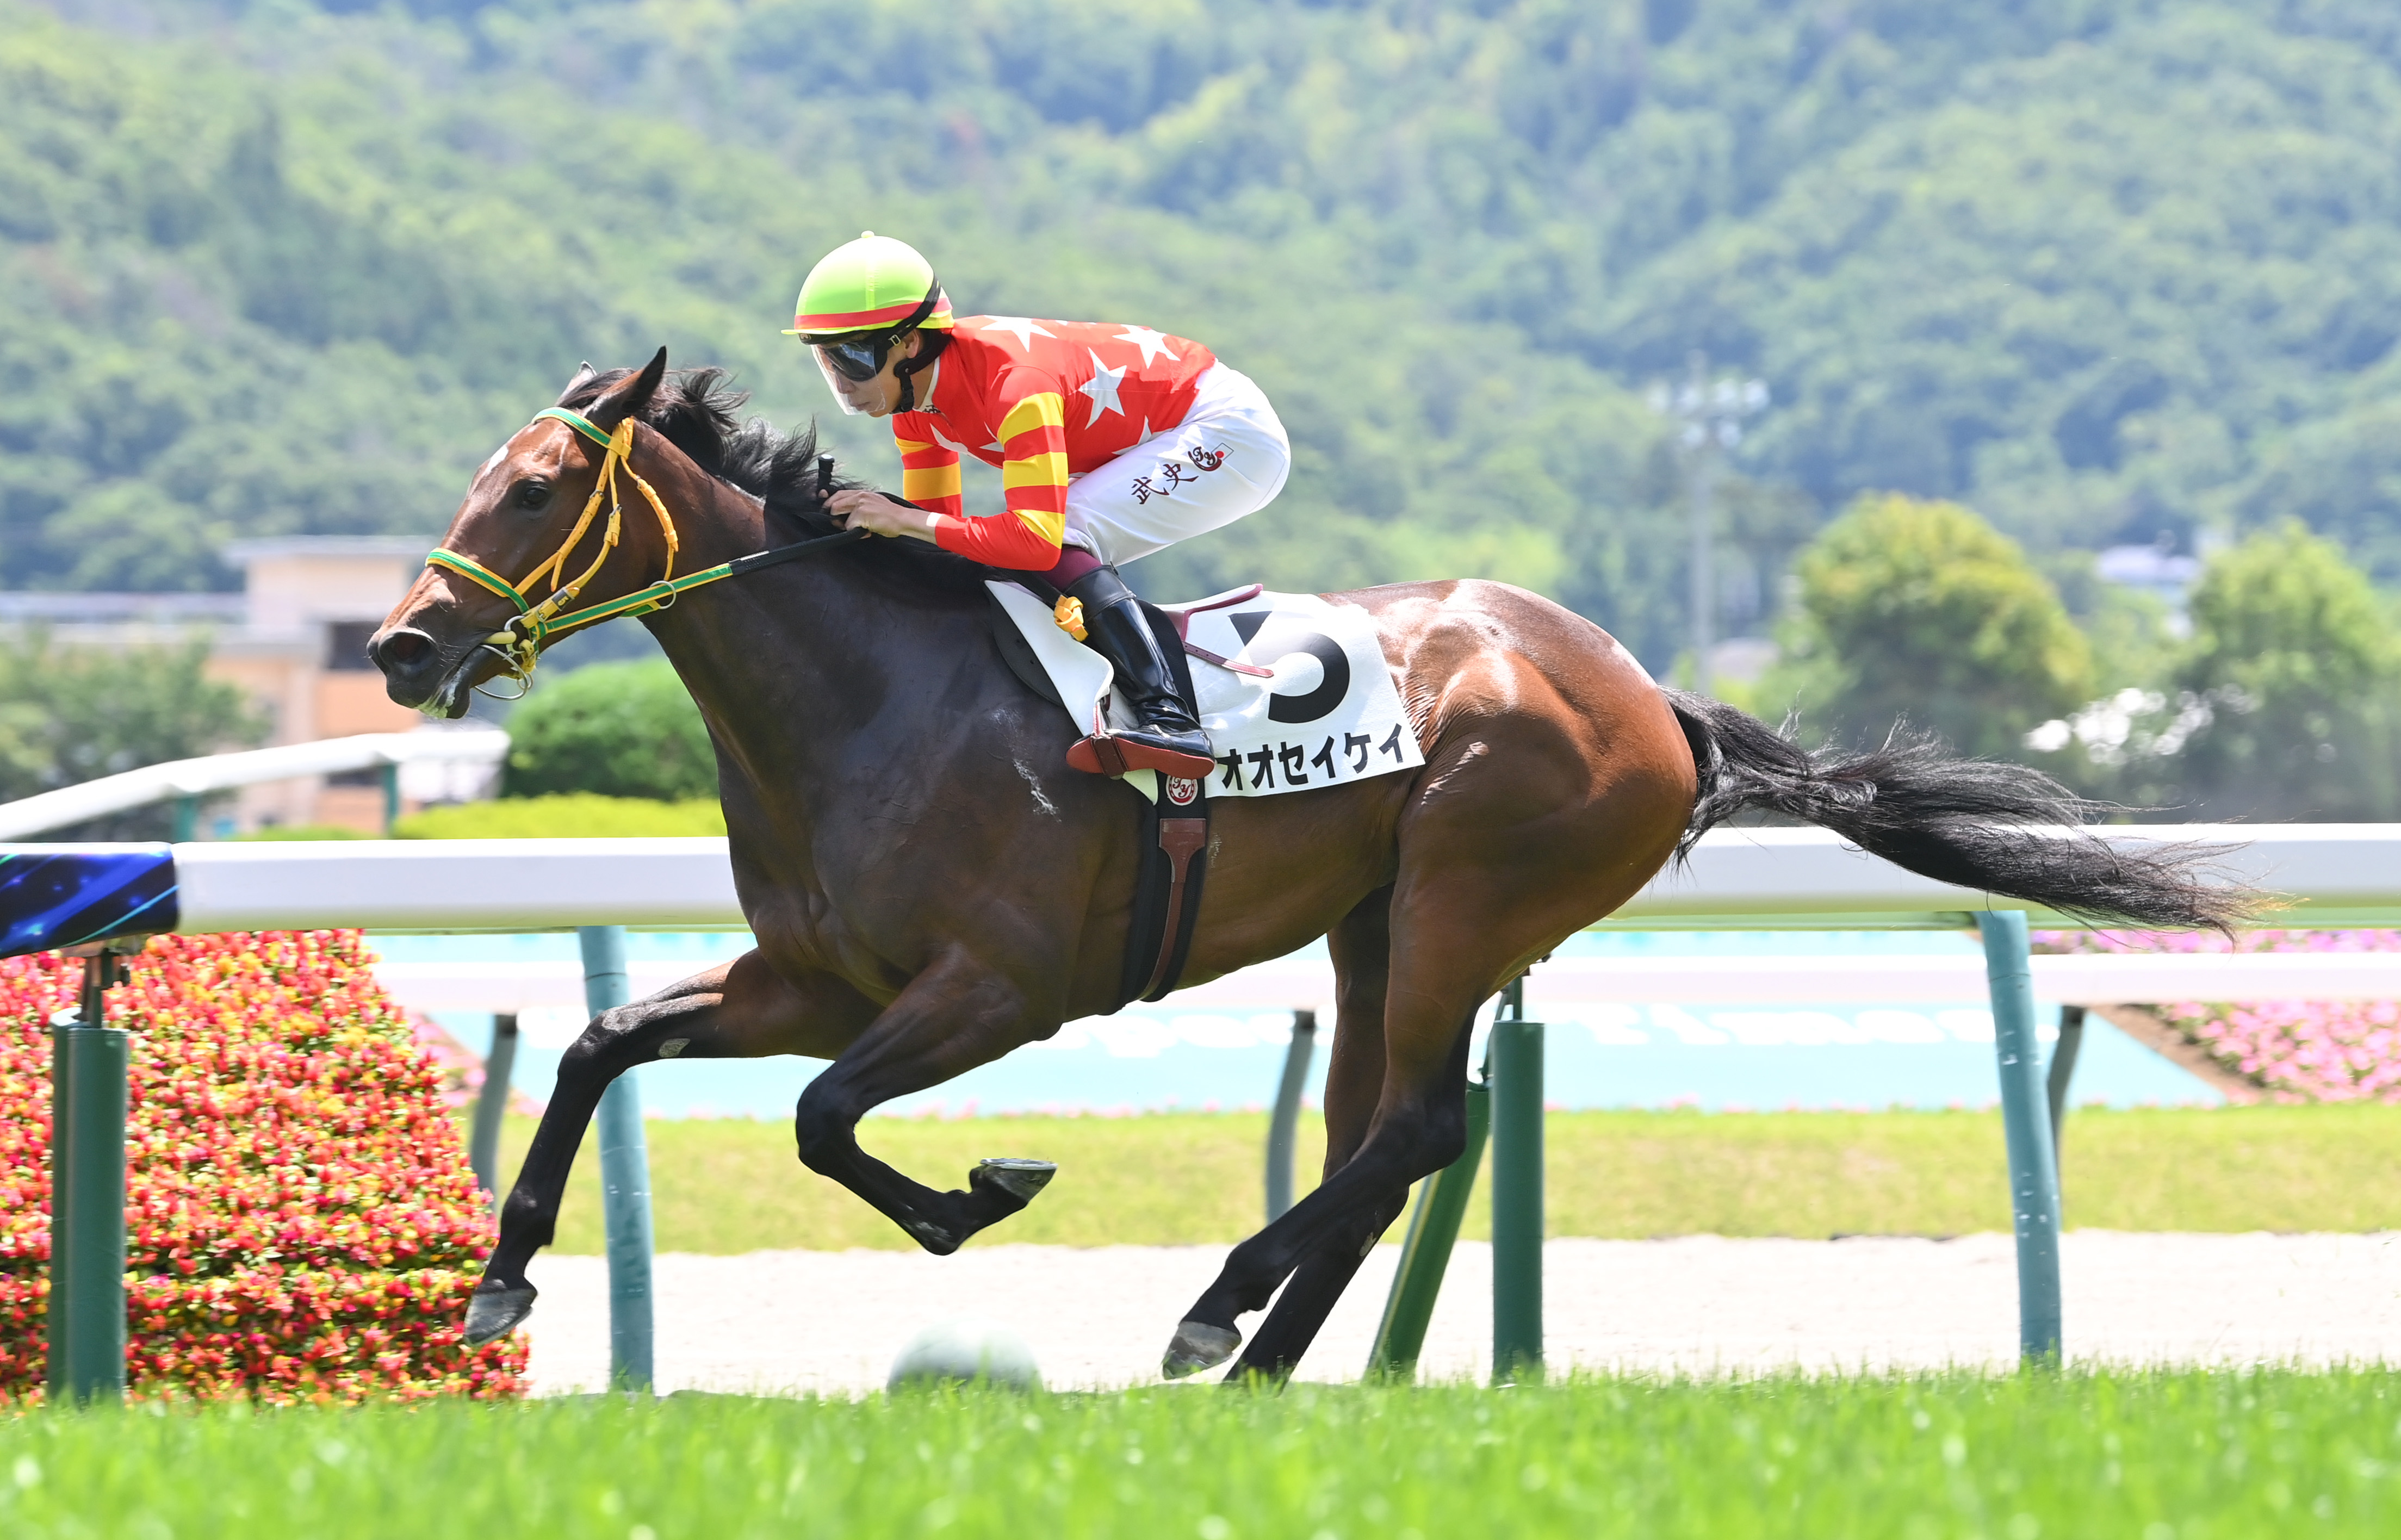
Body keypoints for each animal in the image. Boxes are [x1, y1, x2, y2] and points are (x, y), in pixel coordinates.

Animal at [371, 349, 2246, 1381]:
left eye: (532, 490)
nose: (398, 648)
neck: (868, 696)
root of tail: (1652, 692)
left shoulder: (1000, 988)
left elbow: (827, 1121)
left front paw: (979, 1195)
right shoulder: (813, 979)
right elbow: (608, 1044)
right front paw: (499, 1279)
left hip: (1462, 897)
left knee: (1411, 1130)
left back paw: (1217, 1309)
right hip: (1372, 930)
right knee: (1383, 1142)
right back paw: (1260, 1355)